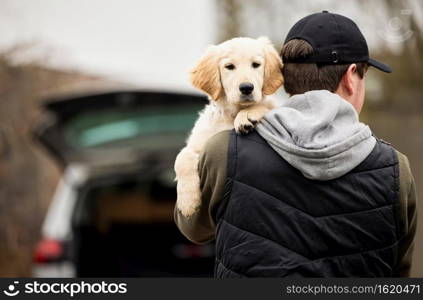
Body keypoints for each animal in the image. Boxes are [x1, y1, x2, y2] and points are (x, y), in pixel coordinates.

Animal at [174, 37, 284, 218]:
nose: (246, 87)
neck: (232, 113)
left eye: (256, 64)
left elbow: (266, 106)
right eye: (229, 66)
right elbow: (181, 158)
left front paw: (247, 115)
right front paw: (188, 202)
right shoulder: (198, 144)